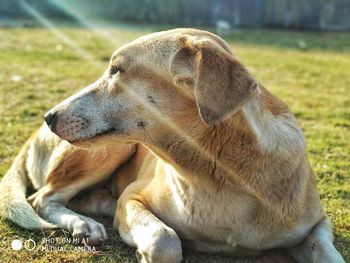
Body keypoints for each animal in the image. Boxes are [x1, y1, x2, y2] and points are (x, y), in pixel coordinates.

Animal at [0, 27, 344, 262]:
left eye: (116, 70)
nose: (50, 116)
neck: (223, 174)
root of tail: (32, 135)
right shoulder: (134, 197)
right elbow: (165, 238)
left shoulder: (317, 225)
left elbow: (328, 253)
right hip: (110, 149)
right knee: (43, 198)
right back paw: (84, 224)